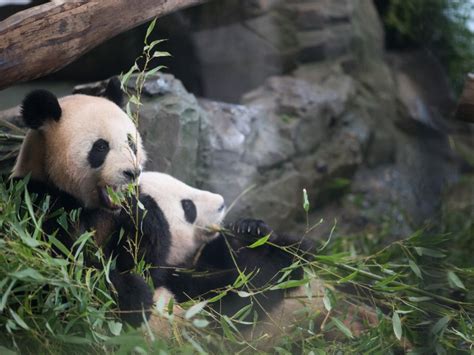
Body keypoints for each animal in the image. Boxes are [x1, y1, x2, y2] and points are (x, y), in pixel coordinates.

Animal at [10, 81, 153, 328]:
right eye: (101, 147)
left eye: (131, 143)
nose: (132, 172)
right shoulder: (38, 206)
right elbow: (68, 269)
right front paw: (134, 295)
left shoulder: (117, 215)